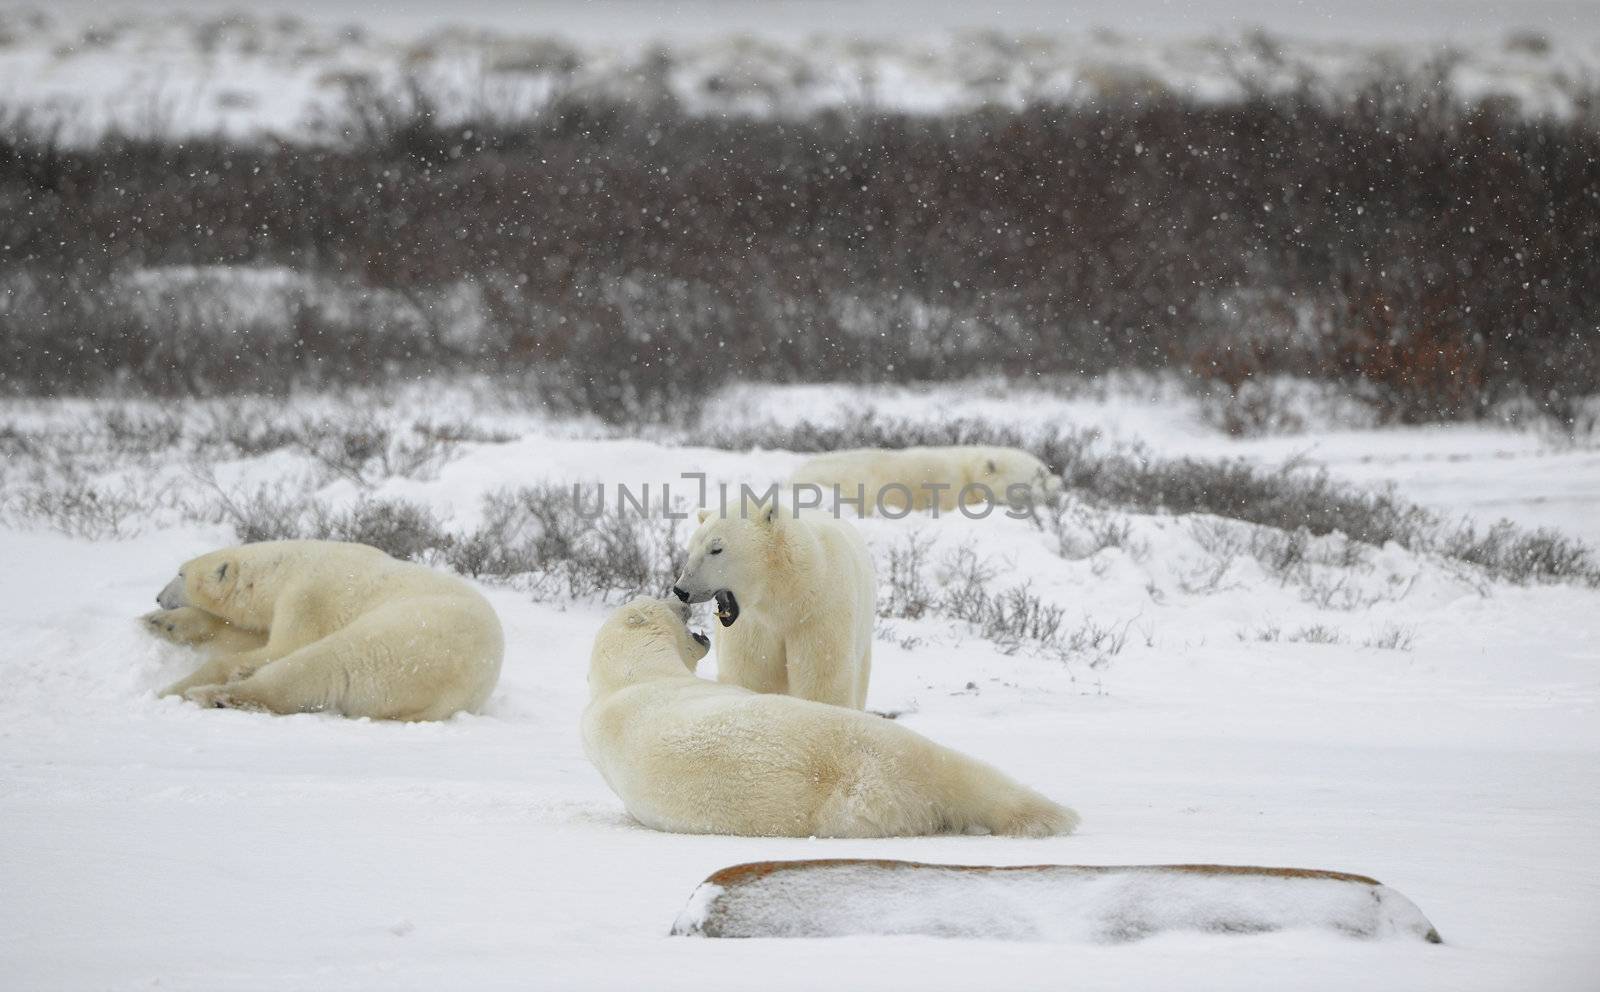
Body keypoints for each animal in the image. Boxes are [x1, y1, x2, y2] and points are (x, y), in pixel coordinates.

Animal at [148, 544, 505, 720]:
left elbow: (282, 645)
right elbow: (247, 633)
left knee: (322, 665)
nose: (158, 596)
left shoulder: (308, 595)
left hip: (404, 642)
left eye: (180, 574)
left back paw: (208, 694)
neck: (288, 565)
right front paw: (160, 622)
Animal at [582, 595, 1081, 838]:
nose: (683, 599)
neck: (629, 678)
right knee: (961, 770)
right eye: (662, 603)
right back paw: (1051, 813)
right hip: (879, 749)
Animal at [675, 499, 876, 710]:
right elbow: (750, 674)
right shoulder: (755, 627)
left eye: (716, 549)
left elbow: (821, 681)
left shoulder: (819, 615)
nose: (680, 590)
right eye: (691, 548)